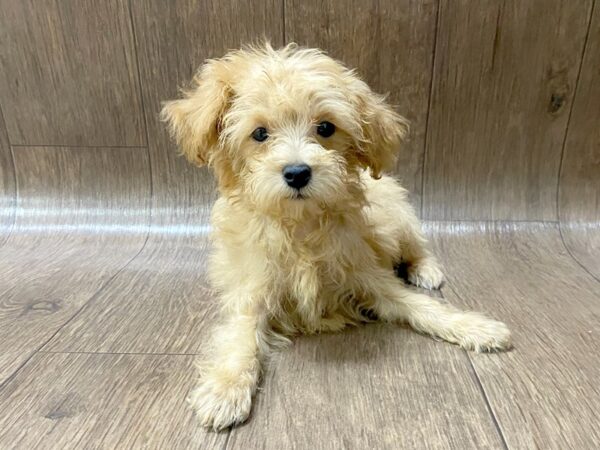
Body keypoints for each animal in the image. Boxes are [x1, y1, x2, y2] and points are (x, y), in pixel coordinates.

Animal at [161, 44, 510, 430]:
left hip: (397, 216)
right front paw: (225, 389)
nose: (297, 172)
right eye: (260, 134)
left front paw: (475, 327)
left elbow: (420, 305)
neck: (300, 225)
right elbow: (241, 335)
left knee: (417, 247)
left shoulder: (370, 277)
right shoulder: (252, 288)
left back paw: (426, 270)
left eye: (326, 127)